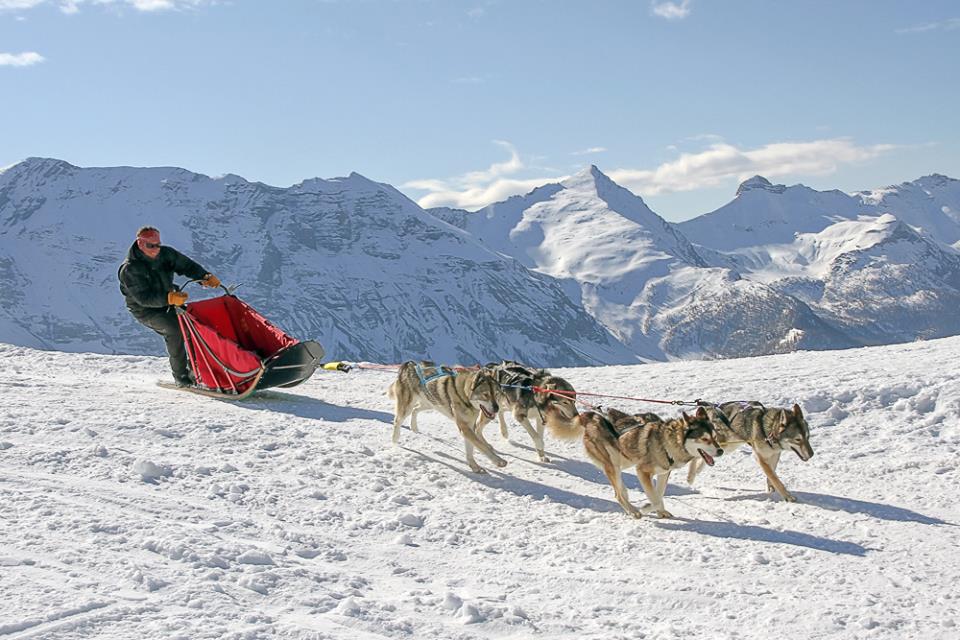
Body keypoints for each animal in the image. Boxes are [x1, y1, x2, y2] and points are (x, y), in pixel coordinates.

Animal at [580, 410, 724, 520]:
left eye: (715, 437)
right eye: (705, 439)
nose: (721, 451)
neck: (666, 443)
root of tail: (592, 417)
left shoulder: (664, 473)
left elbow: (658, 494)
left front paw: (661, 511)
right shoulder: (642, 471)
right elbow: (655, 499)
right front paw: (645, 508)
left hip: (624, 460)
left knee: (621, 489)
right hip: (613, 464)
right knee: (618, 494)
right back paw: (633, 511)